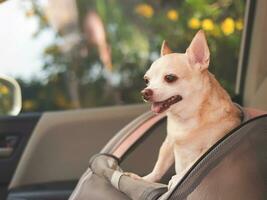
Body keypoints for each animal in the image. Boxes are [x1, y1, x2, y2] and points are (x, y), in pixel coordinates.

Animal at [141, 30, 242, 188]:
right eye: (146, 80)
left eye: (170, 78)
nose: (145, 92)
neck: (185, 119)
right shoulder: (169, 142)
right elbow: (160, 165)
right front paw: (146, 179)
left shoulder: (210, 147)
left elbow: (193, 165)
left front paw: (178, 178)